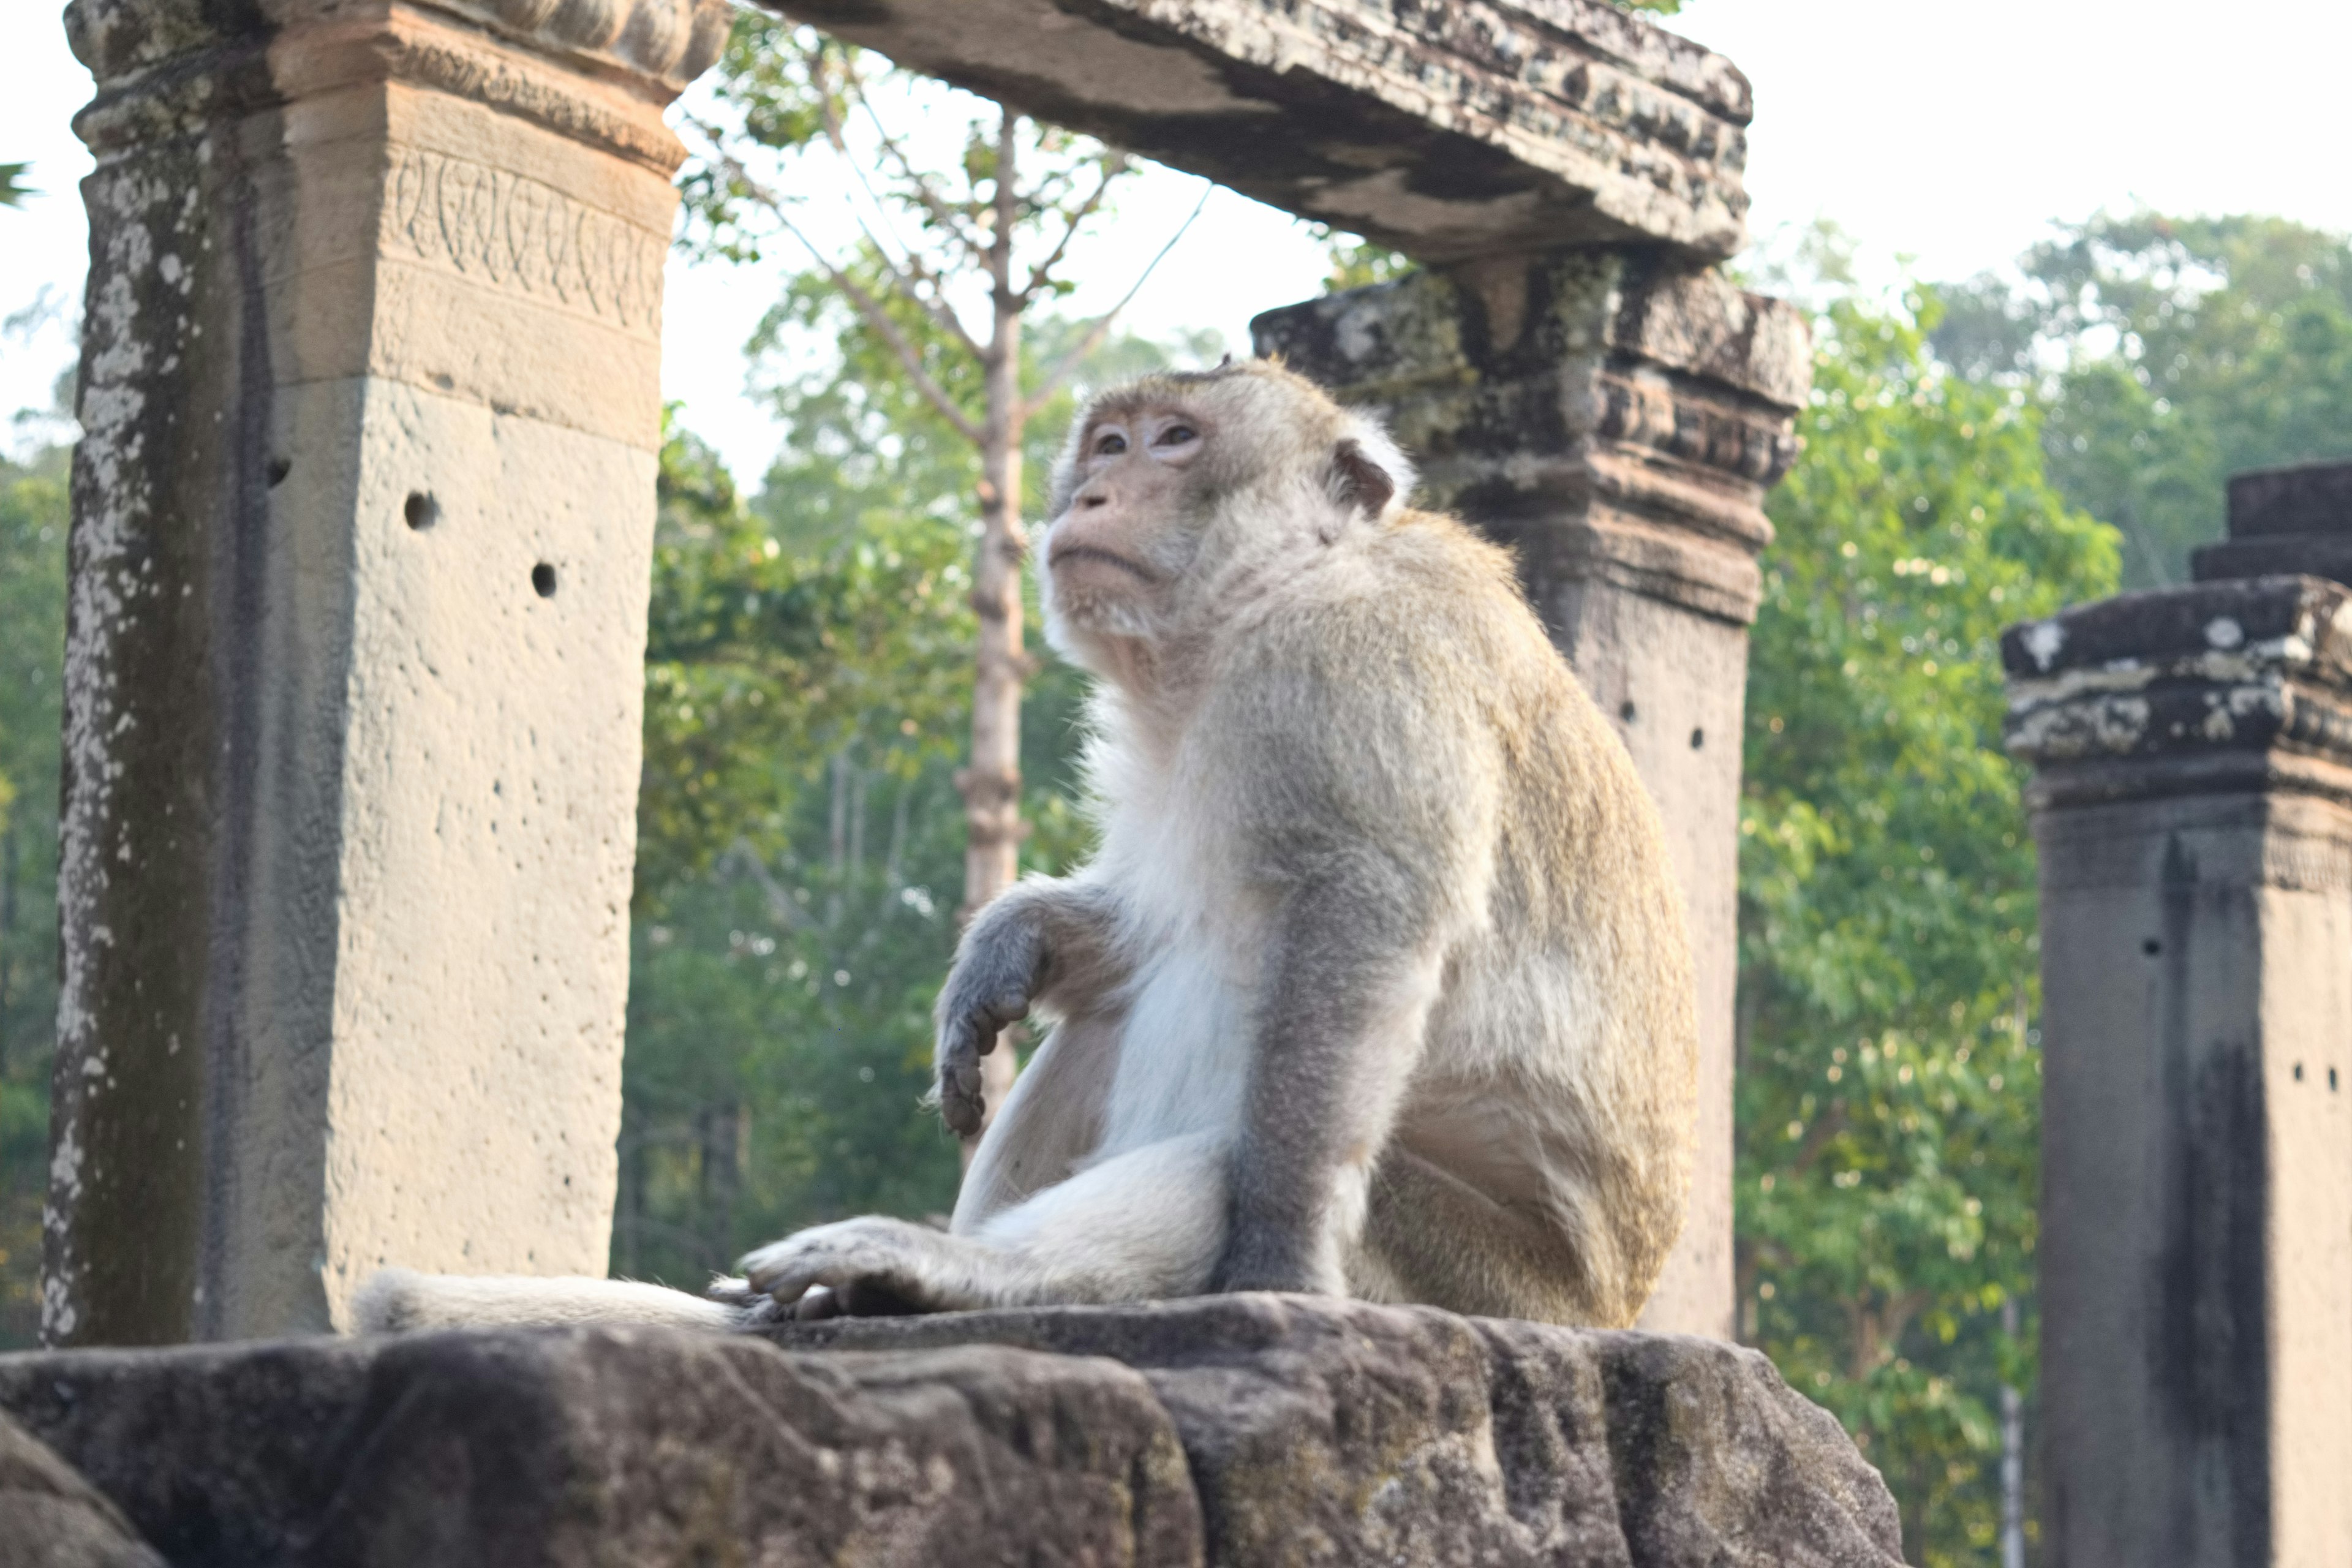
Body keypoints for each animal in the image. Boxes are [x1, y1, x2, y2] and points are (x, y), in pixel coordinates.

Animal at [353, 360, 1693, 1335]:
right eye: (1108, 444)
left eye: (1175, 441)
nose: (1092, 498)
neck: (1257, 608)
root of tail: (1609, 1310)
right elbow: (1135, 926)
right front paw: (1008, 943)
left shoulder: (1360, 665)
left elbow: (1366, 913)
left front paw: (1278, 1252)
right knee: (1109, 1010)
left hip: (1471, 1276)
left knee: (1234, 1139)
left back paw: (958, 1275)